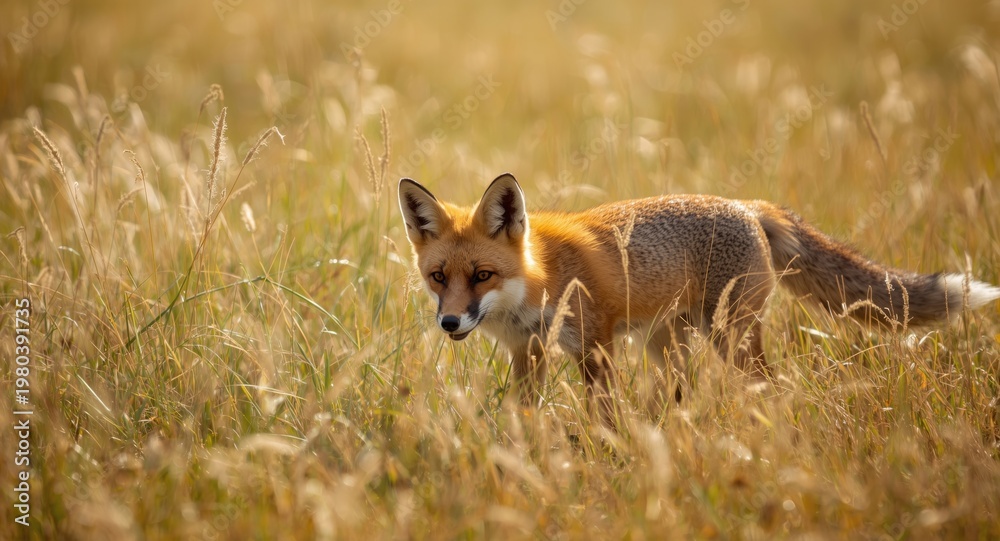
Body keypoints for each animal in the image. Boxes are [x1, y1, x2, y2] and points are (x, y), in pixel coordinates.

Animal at [398, 173, 1000, 412]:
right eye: (438, 277)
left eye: (481, 275)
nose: (450, 323)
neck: (540, 276)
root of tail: (748, 205)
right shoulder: (529, 352)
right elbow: (524, 417)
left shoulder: (596, 346)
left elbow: (603, 417)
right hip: (669, 343)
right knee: (682, 395)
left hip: (728, 338)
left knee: (772, 388)